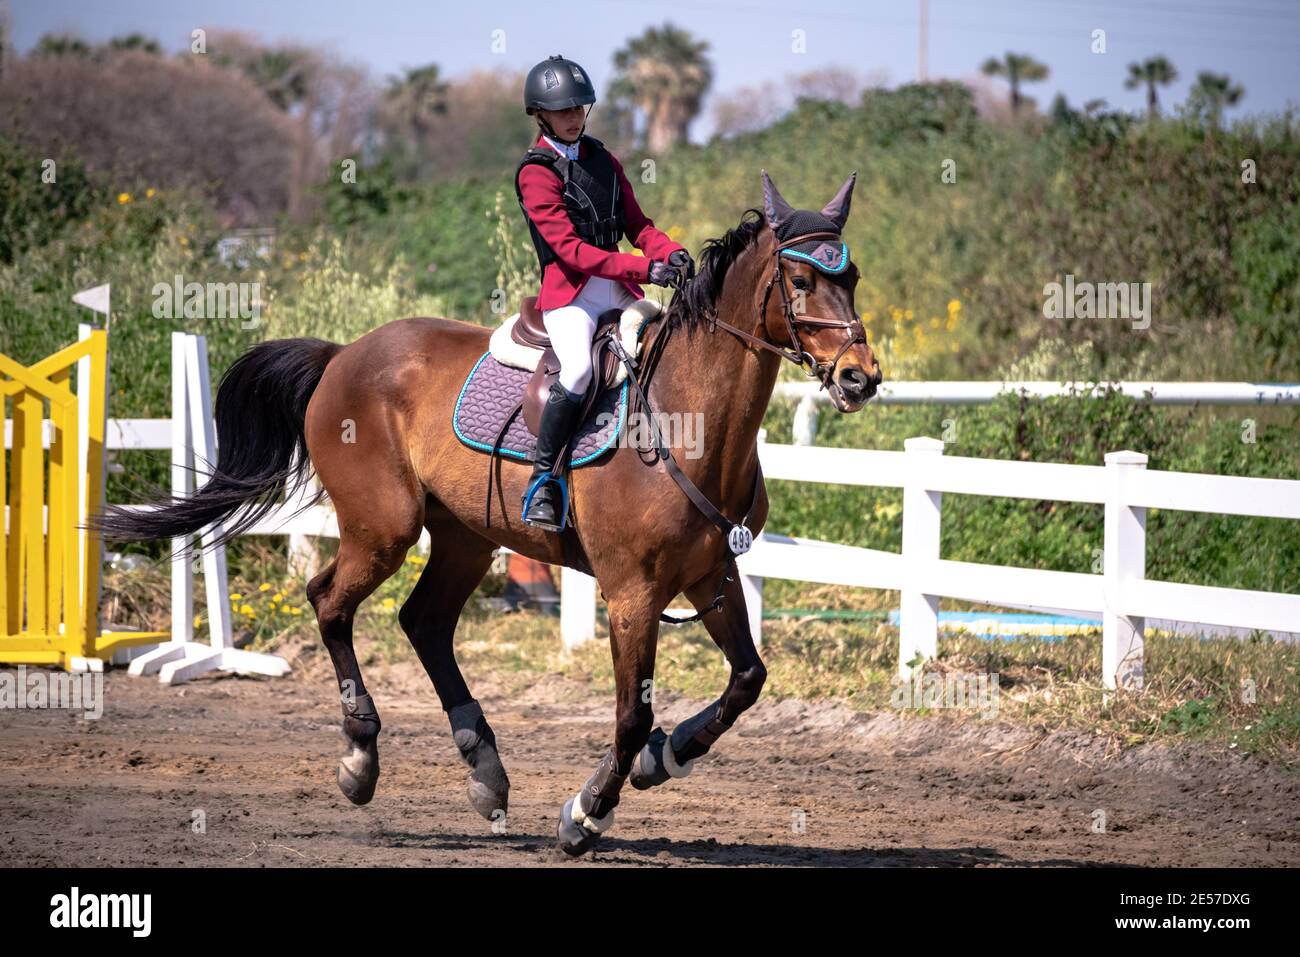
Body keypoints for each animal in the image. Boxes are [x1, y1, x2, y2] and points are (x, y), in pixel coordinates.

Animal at [96, 167, 878, 858]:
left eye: (852, 278)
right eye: (800, 281)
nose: (860, 378)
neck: (685, 420)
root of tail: (344, 354)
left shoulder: (711, 576)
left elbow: (746, 680)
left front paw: (668, 757)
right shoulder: (632, 596)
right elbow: (632, 715)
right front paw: (586, 812)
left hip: (465, 538)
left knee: (424, 622)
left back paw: (484, 769)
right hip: (384, 529)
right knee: (329, 602)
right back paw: (360, 758)